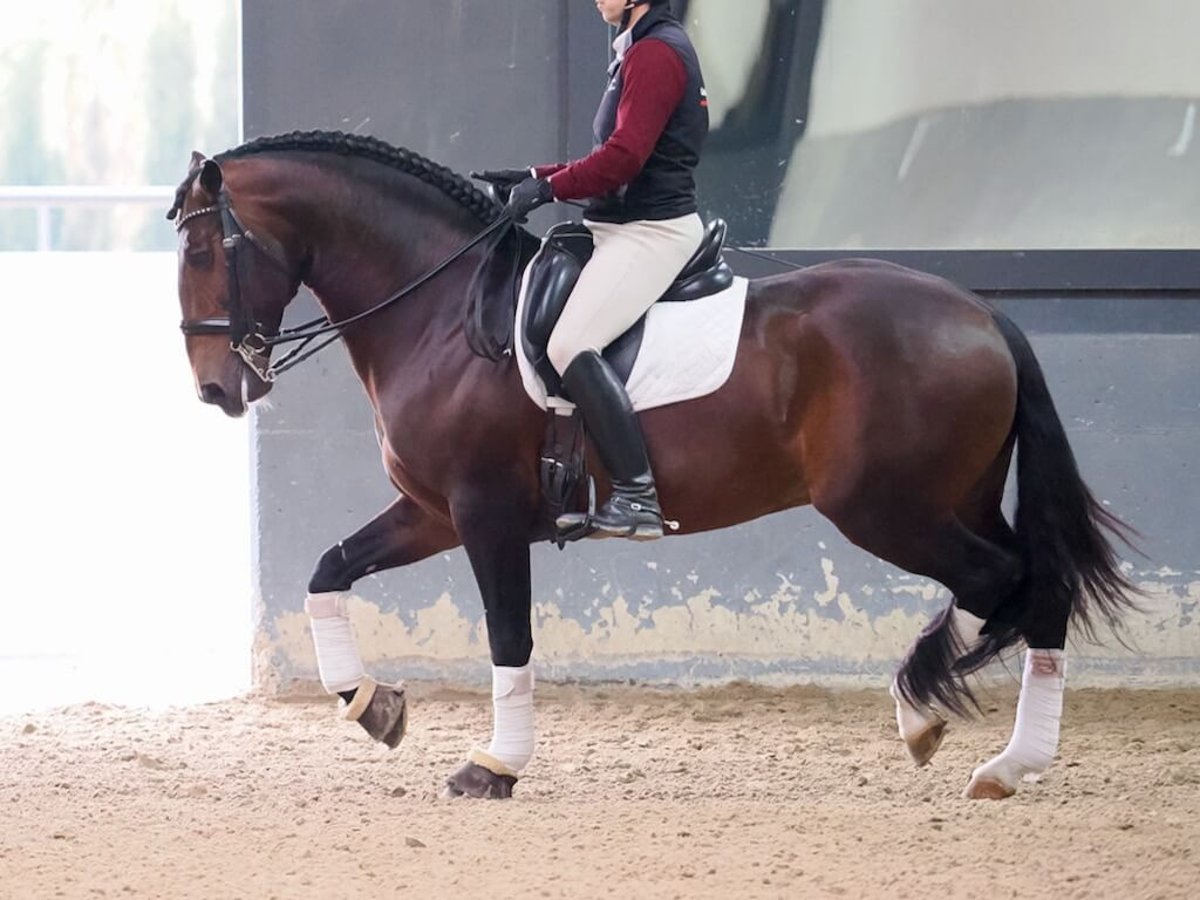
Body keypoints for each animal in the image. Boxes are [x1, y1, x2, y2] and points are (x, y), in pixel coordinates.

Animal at [166, 128, 1132, 801]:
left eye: (203, 251)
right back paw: (938, 721)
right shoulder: (432, 512)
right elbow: (327, 573)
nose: (215, 389)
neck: (442, 312)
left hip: (888, 508)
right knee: (1016, 584)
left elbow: (508, 635)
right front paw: (373, 707)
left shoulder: (483, 515)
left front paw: (494, 765)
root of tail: (982, 314)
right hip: (952, 498)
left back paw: (996, 754)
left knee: (1017, 583)